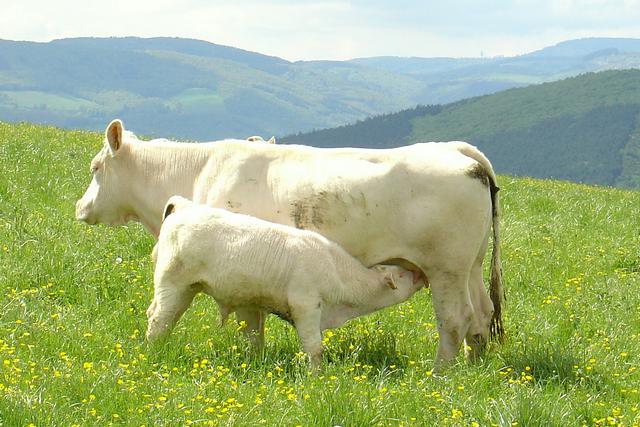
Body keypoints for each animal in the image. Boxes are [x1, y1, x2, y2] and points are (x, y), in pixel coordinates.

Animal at [149, 197, 424, 368]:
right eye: (401, 274)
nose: (420, 274)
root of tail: (183, 209)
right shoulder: (306, 305)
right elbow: (314, 347)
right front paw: (316, 377)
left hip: (185, 289)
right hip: (172, 284)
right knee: (159, 318)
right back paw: (154, 351)